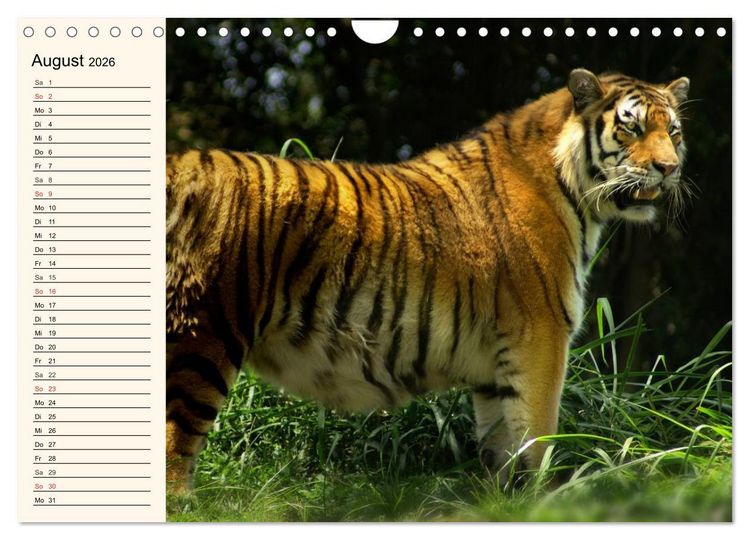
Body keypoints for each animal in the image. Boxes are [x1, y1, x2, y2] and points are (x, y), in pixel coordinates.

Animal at [165, 68, 690, 494]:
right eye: (631, 126)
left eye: (674, 131)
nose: (670, 168)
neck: (573, 189)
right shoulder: (542, 336)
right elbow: (539, 439)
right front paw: (545, 500)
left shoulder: (495, 367)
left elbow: (502, 451)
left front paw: (505, 505)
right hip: (200, 335)